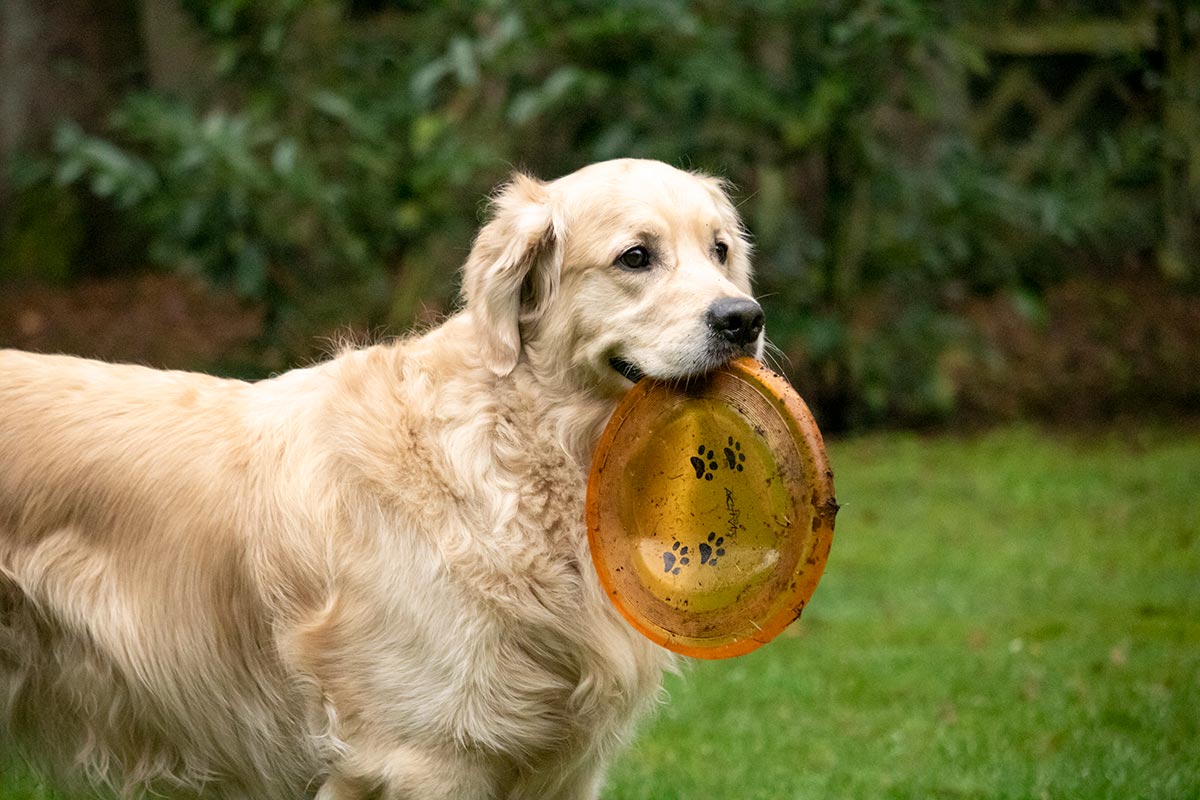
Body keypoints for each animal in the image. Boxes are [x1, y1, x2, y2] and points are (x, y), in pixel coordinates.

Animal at [0, 159, 763, 796]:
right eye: (636, 256)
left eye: (720, 250)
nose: (744, 319)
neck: (519, 450)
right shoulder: (426, 756)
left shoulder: (567, 771)